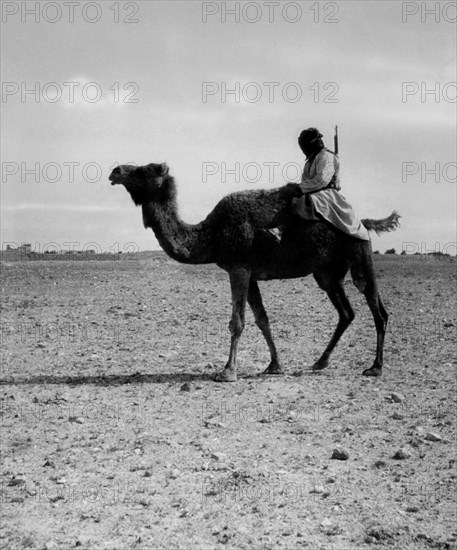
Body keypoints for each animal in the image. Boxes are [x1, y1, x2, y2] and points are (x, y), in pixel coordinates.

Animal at [110, 162, 400, 382]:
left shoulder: (238, 268)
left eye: (144, 170)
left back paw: (375, 368)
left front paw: (227, 372)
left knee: (378, 310)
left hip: (360, 253)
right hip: (326, 274)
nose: (115, 171)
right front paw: (274, 366)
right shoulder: (249, 274)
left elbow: (237, 321)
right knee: (347, 312)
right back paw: (320, 362)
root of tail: (364, 222)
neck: (211, 235)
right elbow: (262, 319)